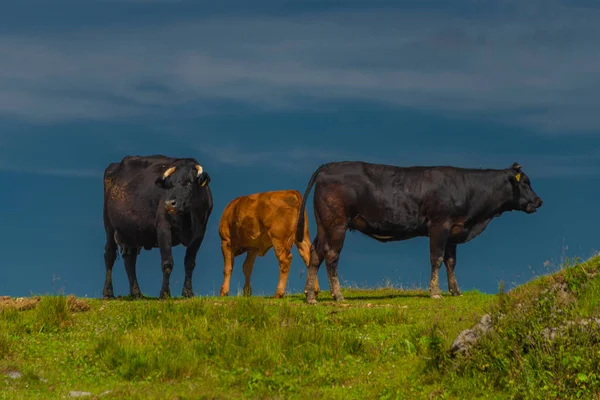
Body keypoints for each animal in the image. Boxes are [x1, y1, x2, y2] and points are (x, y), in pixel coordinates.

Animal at [102, 155, 213, 298]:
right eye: (170, 185)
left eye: (189, 182)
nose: (169, 203)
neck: (188, 219)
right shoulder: (163, 227)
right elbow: (167, 263)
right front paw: (164, 293)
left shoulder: (200, 232)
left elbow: (190, 262)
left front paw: (188, 292)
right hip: (109, 225)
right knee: (109, 255)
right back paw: (108, 293)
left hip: (131, 231)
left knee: (130, 259)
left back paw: (136, 293)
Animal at [296, 159, 544, 304]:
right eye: (525, 183)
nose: (539, 201)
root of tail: (329, 166)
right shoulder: (439, 225)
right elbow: (437, 259)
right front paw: (435, 292)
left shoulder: (454, 231)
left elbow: (451, 262)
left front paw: (455, 291)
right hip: (337, 224)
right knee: (331, 255)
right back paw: (337, 295)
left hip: (324, 225)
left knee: (316, 253)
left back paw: (310, 296)